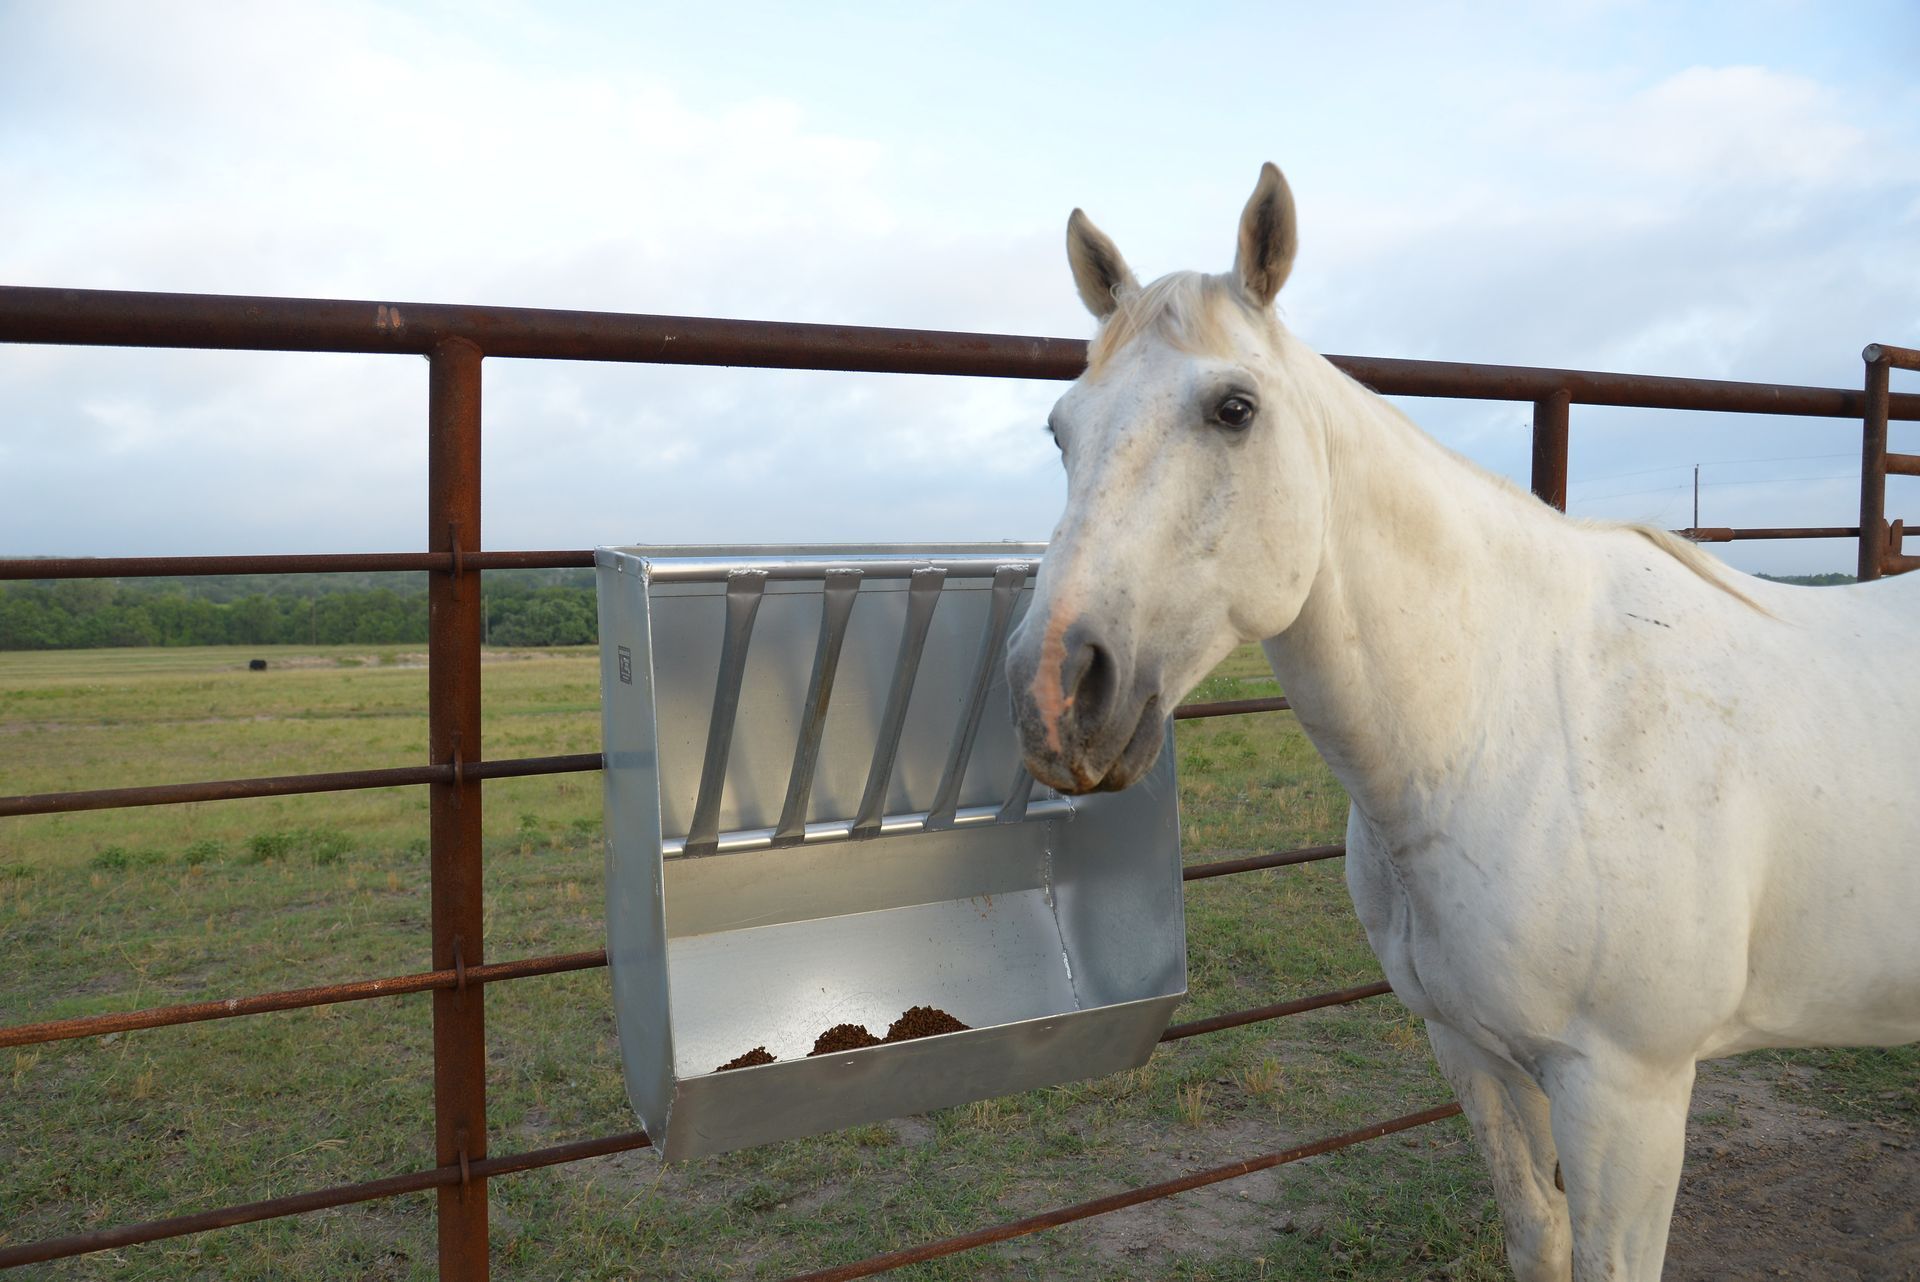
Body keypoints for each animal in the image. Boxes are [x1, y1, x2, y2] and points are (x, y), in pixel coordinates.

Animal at [1004, 162, 1920, 1281]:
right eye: (1062, 428)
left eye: (1234, 407)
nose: (1054, 694)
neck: (1514, 727)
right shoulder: (1476, 1053)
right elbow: (1537, 1234)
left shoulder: (1630, 1095)